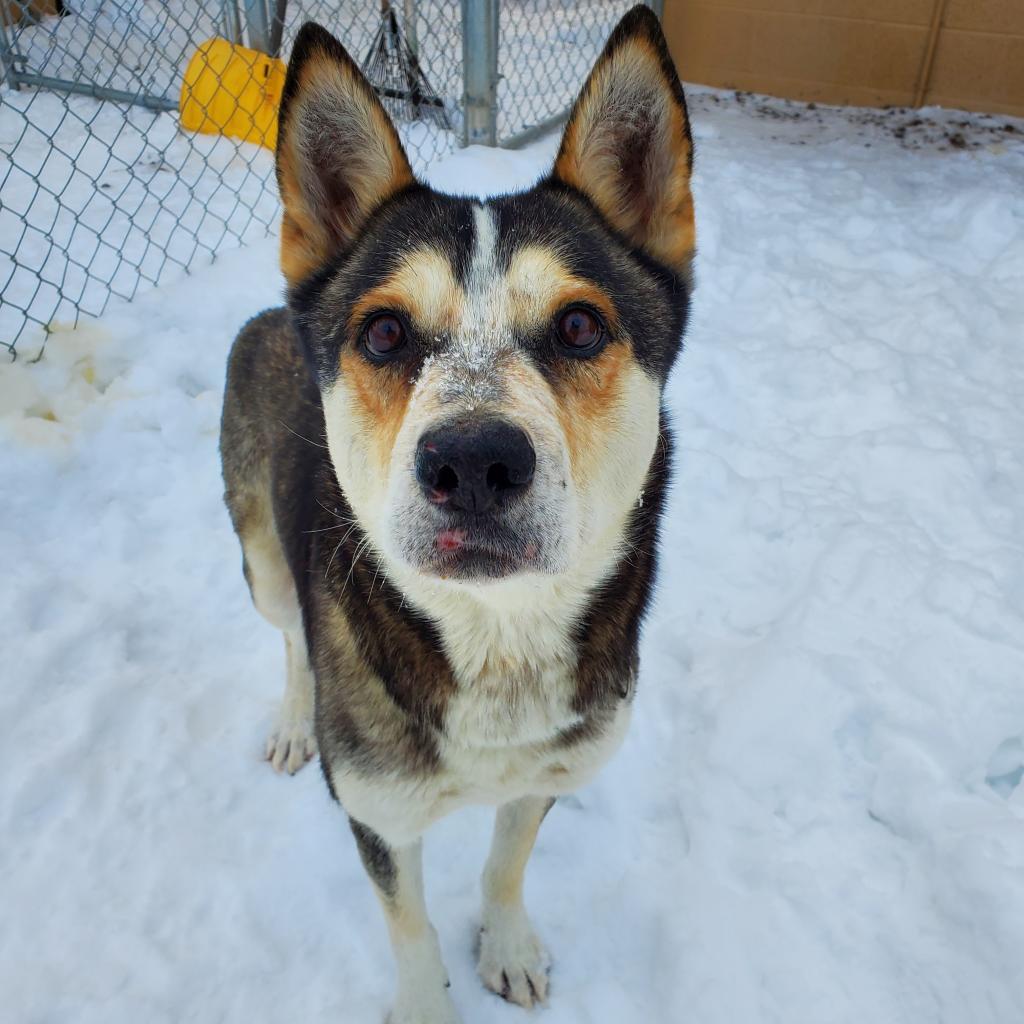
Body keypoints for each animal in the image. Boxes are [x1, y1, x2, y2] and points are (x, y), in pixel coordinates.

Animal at [220, 4, 692, 1019]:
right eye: (384, 332)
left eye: (580, 326)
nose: (473, 462)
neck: (496, 640)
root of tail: (272, 315)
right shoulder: (377, 811)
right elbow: (409, 928)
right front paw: (427, 999)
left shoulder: (551, 770)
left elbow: (507, 866)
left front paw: (506, 945)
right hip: (263, 560)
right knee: (290, 635)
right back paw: (293, 719)